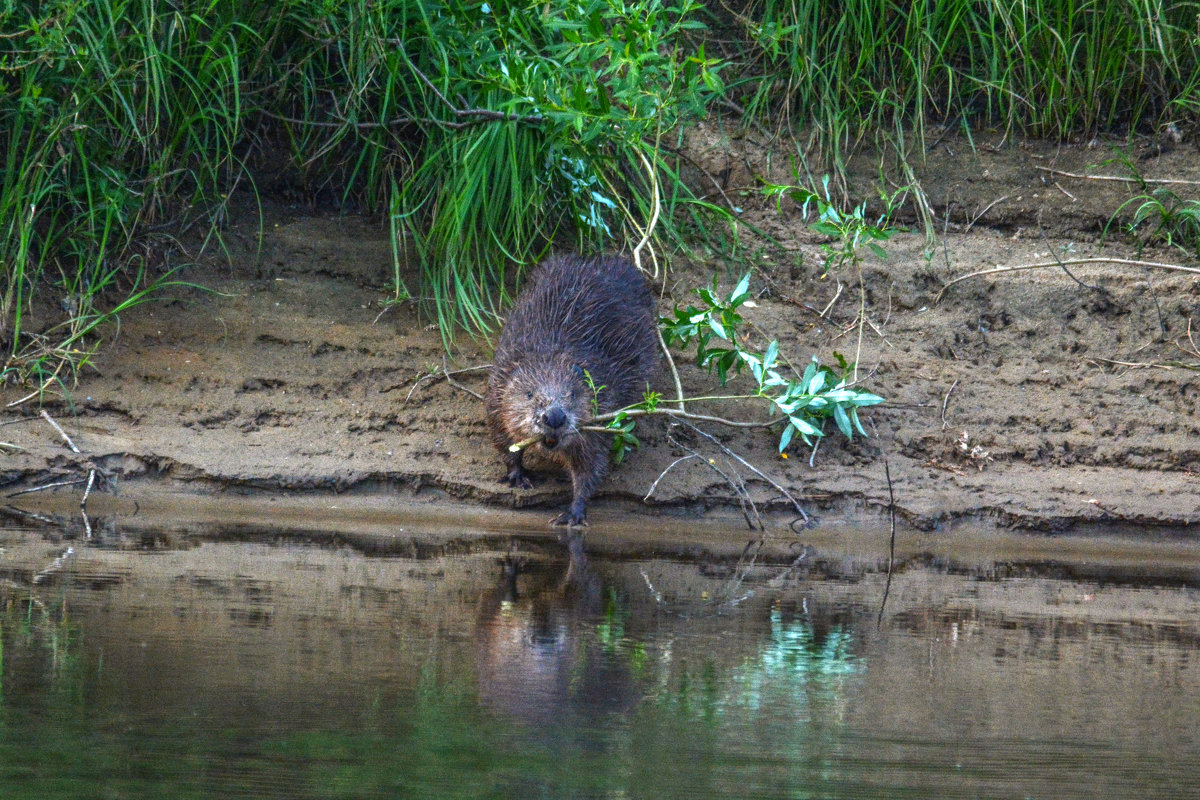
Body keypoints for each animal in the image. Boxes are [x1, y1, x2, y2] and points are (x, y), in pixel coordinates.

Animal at [484, 251, 662, 525]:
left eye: (573, 394)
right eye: (529, 394)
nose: (554, 417)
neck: (551, 353)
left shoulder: (604, 406)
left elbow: (591, 464)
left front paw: (571, 514)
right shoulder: (498, 389)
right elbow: (502, 438)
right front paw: (518, 476)